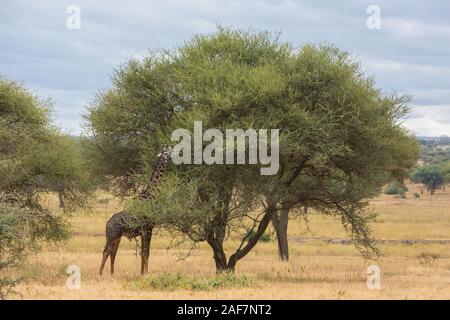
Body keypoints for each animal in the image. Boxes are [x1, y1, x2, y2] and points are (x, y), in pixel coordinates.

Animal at [98, 145, 172, 276]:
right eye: (167, 150)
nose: (172, 153)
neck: (151, 195)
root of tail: (107, 224)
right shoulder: (148, 229)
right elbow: (146, 253)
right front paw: (146, 274)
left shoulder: (144, 232)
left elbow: (143, 253)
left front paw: (142, 273)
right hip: (113, 235)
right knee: (106, 251)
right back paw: (100, 274)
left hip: (116, 237)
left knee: (112, 253)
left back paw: (112, 274)